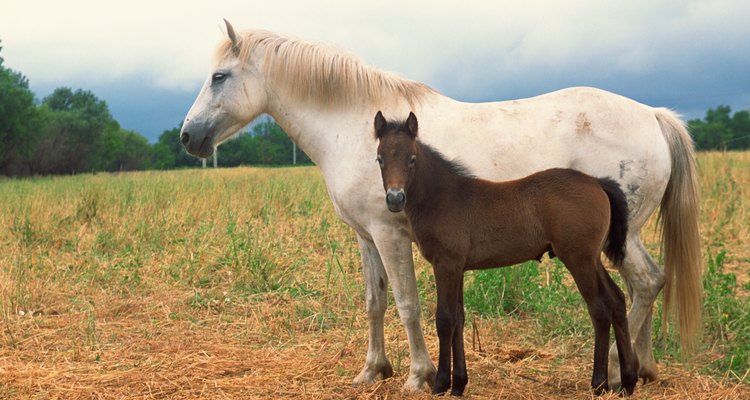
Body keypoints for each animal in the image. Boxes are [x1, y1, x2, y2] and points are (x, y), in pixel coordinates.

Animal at [179, 21, 704, 390]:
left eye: (219, 76)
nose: (187, 136)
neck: (356, 127)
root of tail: (653, 115)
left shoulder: (390, 235)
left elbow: (408, 304)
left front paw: (420, 375)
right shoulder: (366, 235)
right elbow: (374, 302)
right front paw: (373, 370)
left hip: (615, 239)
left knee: (644, 284)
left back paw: (617, 371)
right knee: (643, 286)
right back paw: (644, 368)